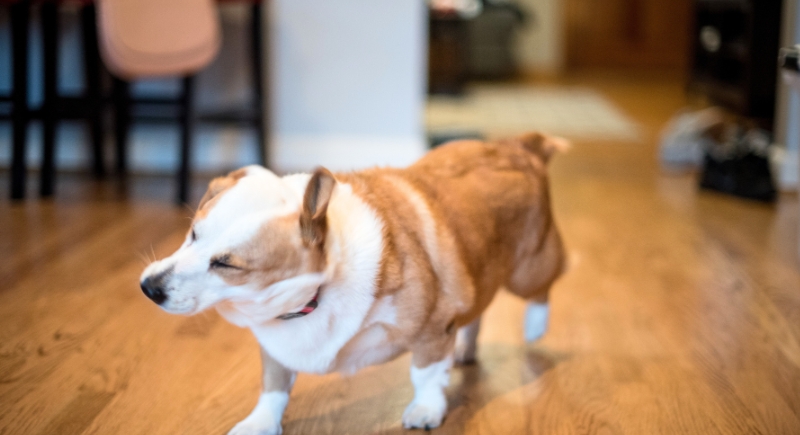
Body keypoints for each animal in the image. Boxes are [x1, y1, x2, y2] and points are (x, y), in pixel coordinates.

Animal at [139, 132, 567, 434]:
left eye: (227, 264)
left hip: (529, 268)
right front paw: (259, 423)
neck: (316, 292)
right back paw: (465, 347)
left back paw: (535, 325)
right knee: (476, 311)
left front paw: (426, 409)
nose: (149, 288)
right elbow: (272, 387)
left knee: (547, 283)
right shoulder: (275, 349)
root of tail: (518, 146)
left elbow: (425, 374)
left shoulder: (431, 330)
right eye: (193, 234)